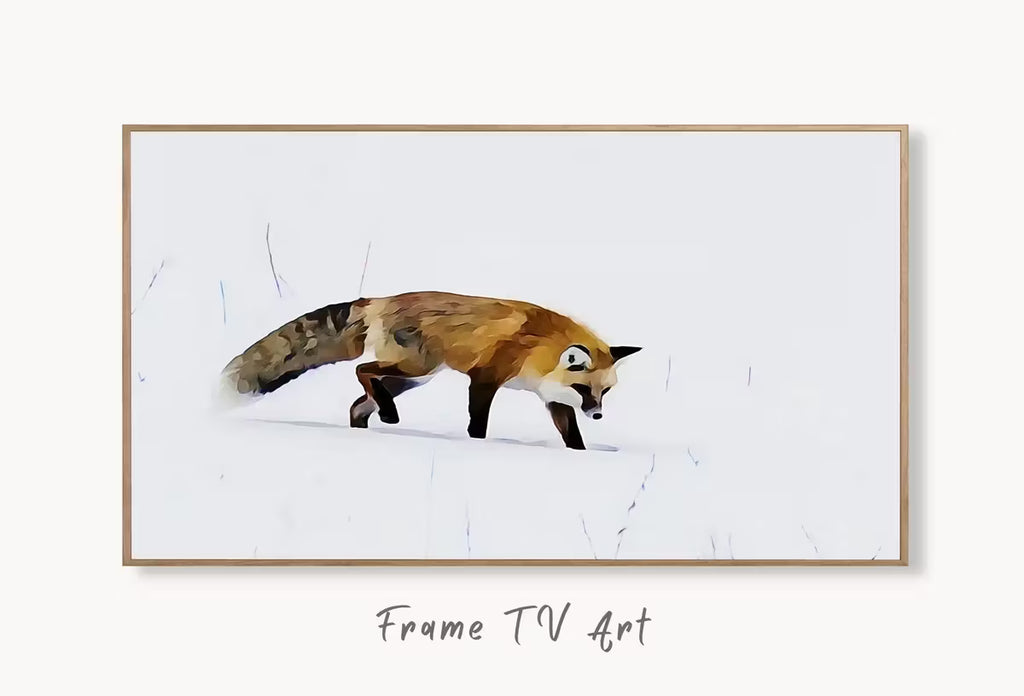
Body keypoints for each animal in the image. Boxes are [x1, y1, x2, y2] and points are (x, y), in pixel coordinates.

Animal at [219, 291, 641, 450]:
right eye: (586, 390)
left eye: (604, 392)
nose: (598, 414)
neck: (539, 348)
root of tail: (381, 298)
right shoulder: (485, 378)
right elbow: (477, 423)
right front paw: (478, 447)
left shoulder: (553, 398)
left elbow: (572, 436)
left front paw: (581, 456)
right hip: (415, 367)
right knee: (363, 370)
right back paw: (388, 416)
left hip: (414, 377)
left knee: (360, 401)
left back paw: (369, 427)